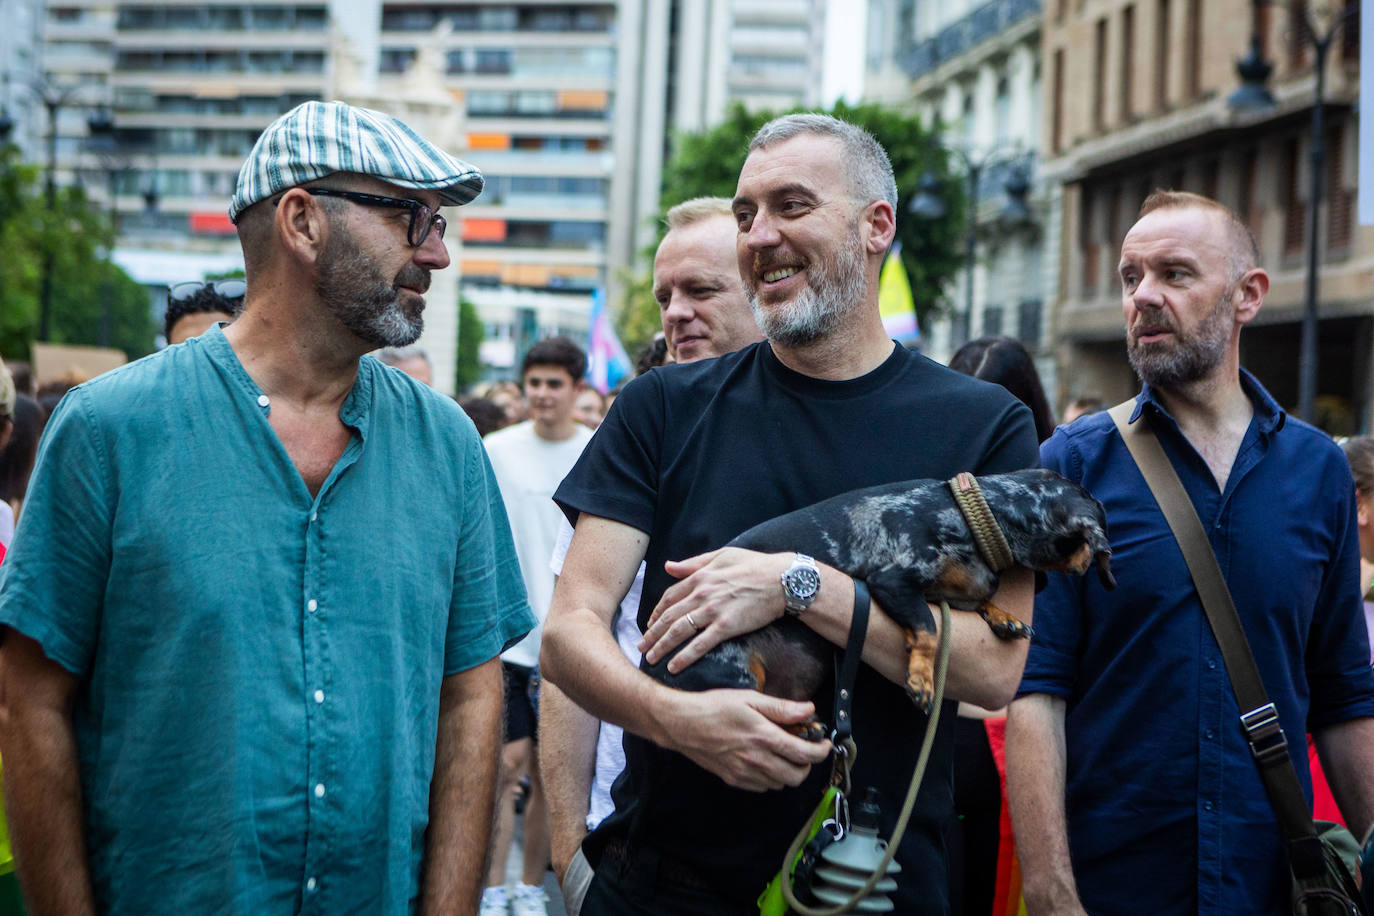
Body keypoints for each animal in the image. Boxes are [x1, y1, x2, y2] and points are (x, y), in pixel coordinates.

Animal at [645, 469, 1115, 725]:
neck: (973, 515)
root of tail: (650, 670)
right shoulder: (892, 582)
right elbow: (928, 630)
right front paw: (922, 681)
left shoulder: (953, 588)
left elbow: (974, 600)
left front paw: (1003, 615)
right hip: (736, 674)